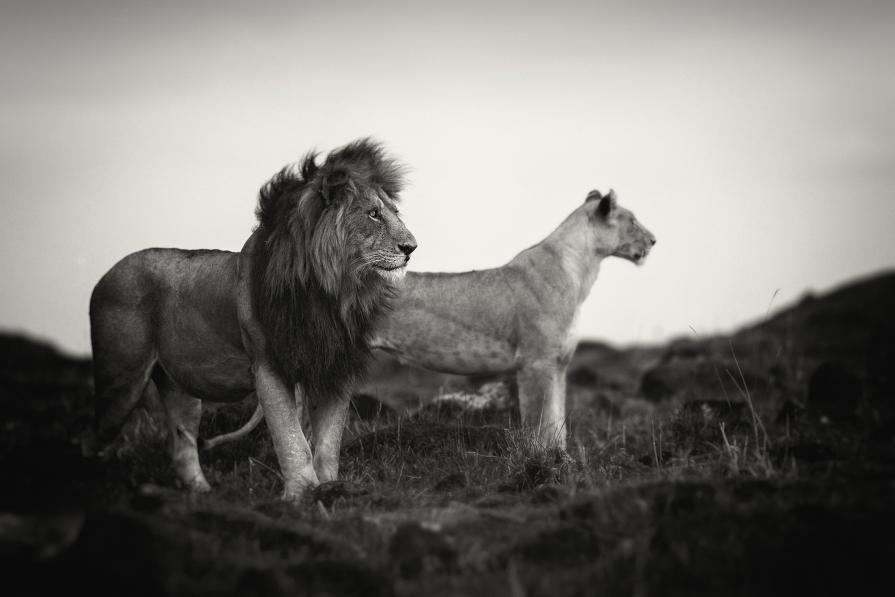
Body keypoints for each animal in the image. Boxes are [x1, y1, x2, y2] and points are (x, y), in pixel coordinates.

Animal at [87, 138, 417, 500]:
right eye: (373, 214)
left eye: (395, 212)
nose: (411, 247)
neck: (333, 291)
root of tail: (106, 275)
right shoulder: (268, 366)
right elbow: (291, 439)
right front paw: (300, 495)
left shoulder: (334, 368)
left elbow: (328, 443)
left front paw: (331, 488)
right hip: (122, 380)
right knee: (92, 439)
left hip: (178, 386)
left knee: (182, 444)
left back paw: (203, 495)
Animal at [207, 189, 655, 451]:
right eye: (631, 220)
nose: (653, 240)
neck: (582, 271)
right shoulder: (536, 362)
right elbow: (541, 421)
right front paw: (543, 463)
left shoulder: (558, 365)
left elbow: (558, 418)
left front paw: (560, 459)